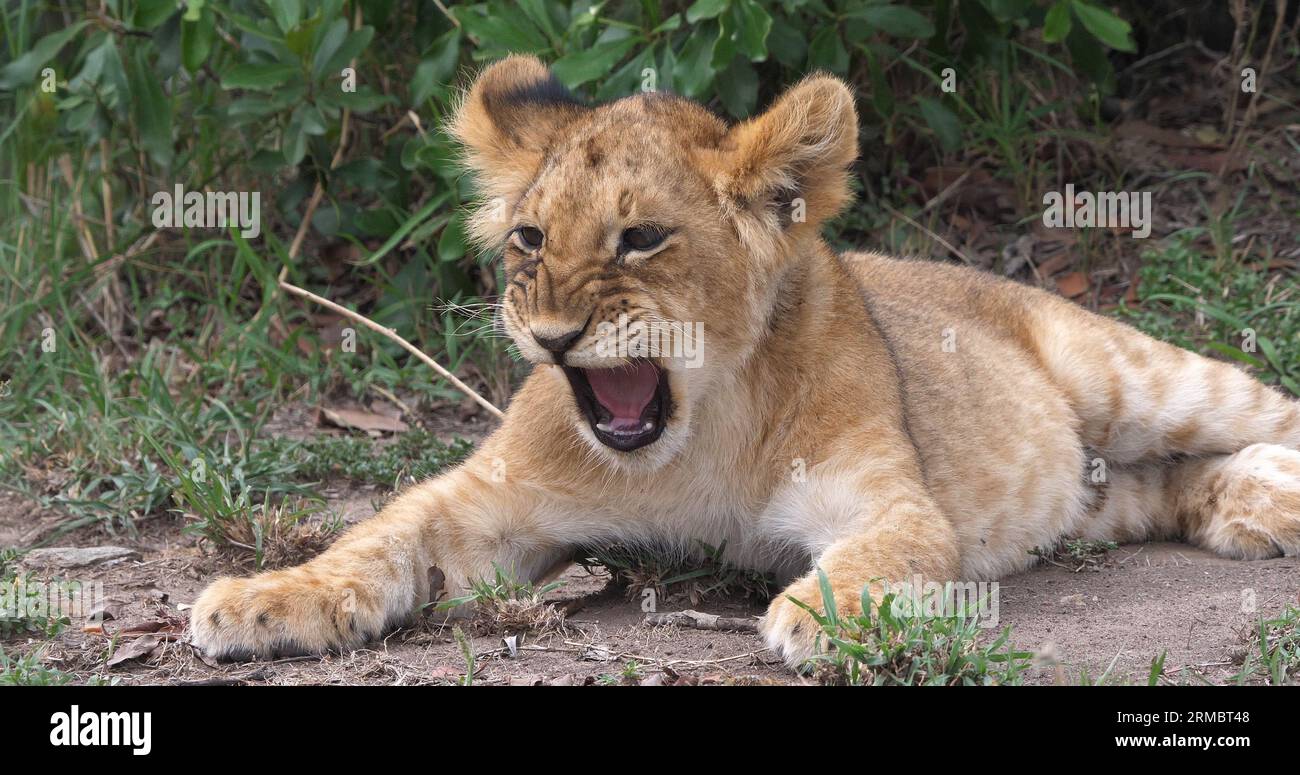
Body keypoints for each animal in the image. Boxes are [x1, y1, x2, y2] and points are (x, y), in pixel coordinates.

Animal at [191, 56, 1300, 667]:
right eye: (529, 240)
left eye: (640, 239)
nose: (550, 336)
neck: (691, 436)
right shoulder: (487, 504)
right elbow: (375, 534)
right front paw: (262, 598)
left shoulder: (889, 498)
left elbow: (883, 552)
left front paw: (821, 615)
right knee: (1170, 484)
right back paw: (1247, 507)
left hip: (1129, 373)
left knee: (1269, 408)